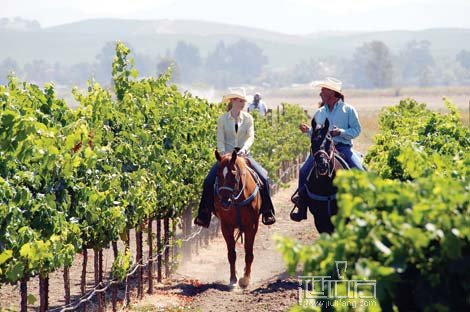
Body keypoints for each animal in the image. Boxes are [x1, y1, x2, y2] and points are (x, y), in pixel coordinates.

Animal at [215, 150, 262, 288]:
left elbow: (249, 253)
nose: (225, 202)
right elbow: (231, 254)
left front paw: (245, 279)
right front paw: (233, 279)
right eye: (218, 174)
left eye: (233, 174)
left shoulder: (251, 226)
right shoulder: (226, 226)